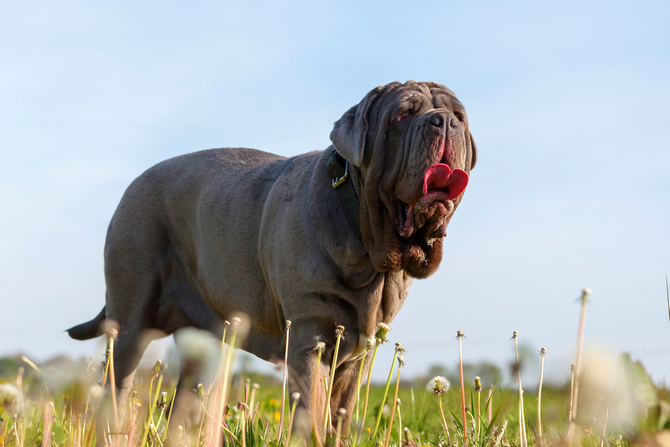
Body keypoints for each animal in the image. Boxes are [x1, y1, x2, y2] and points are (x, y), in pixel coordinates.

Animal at [68, 80, 478, 434]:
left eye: (459, 114)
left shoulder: (354, 360)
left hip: (207, 349)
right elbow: (311, 415)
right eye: (402, 116)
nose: (444, 120)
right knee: (115, 388)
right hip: (130, 320)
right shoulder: (310, 340)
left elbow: (339, 417)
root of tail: (132, 186)